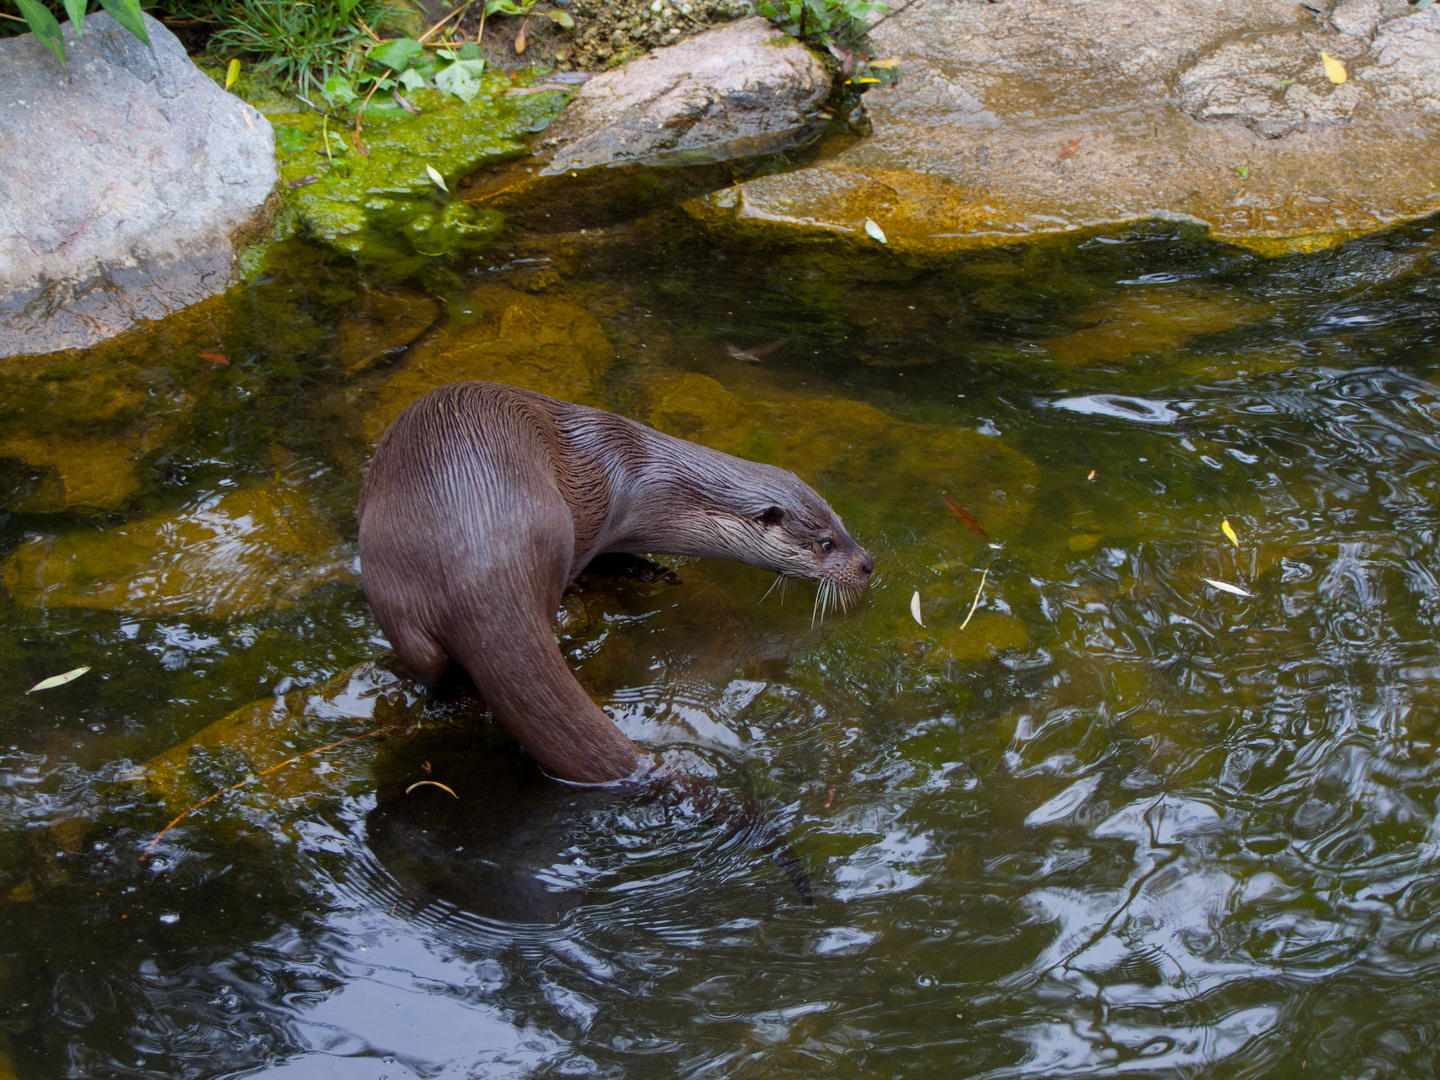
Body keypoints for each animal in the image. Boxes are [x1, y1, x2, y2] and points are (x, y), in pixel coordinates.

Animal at [357, 380, 875, 794]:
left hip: (387, 570)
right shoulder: (594, 510)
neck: (646, 482)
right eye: (826, 543)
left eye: (843, 525)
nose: (868, 564)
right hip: (553, 524)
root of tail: (477, 553)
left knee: (427, 659)